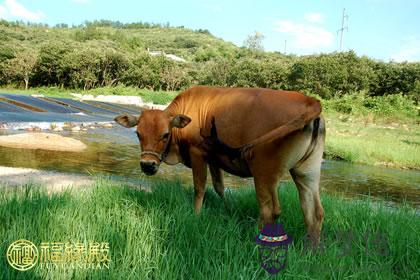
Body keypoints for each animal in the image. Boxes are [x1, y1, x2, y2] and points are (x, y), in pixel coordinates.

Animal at [115, 85, 324, 245]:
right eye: (138, 134)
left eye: (165, 134)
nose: (147, 165)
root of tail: (309, 100)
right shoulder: (213, 159)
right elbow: (219, 187)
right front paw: (228, 209)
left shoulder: (198, 154)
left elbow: (200, 187)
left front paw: (196, 215)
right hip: (307, 173)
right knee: (314, 212)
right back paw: (311, 249)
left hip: (264, 173)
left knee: (270, 211)